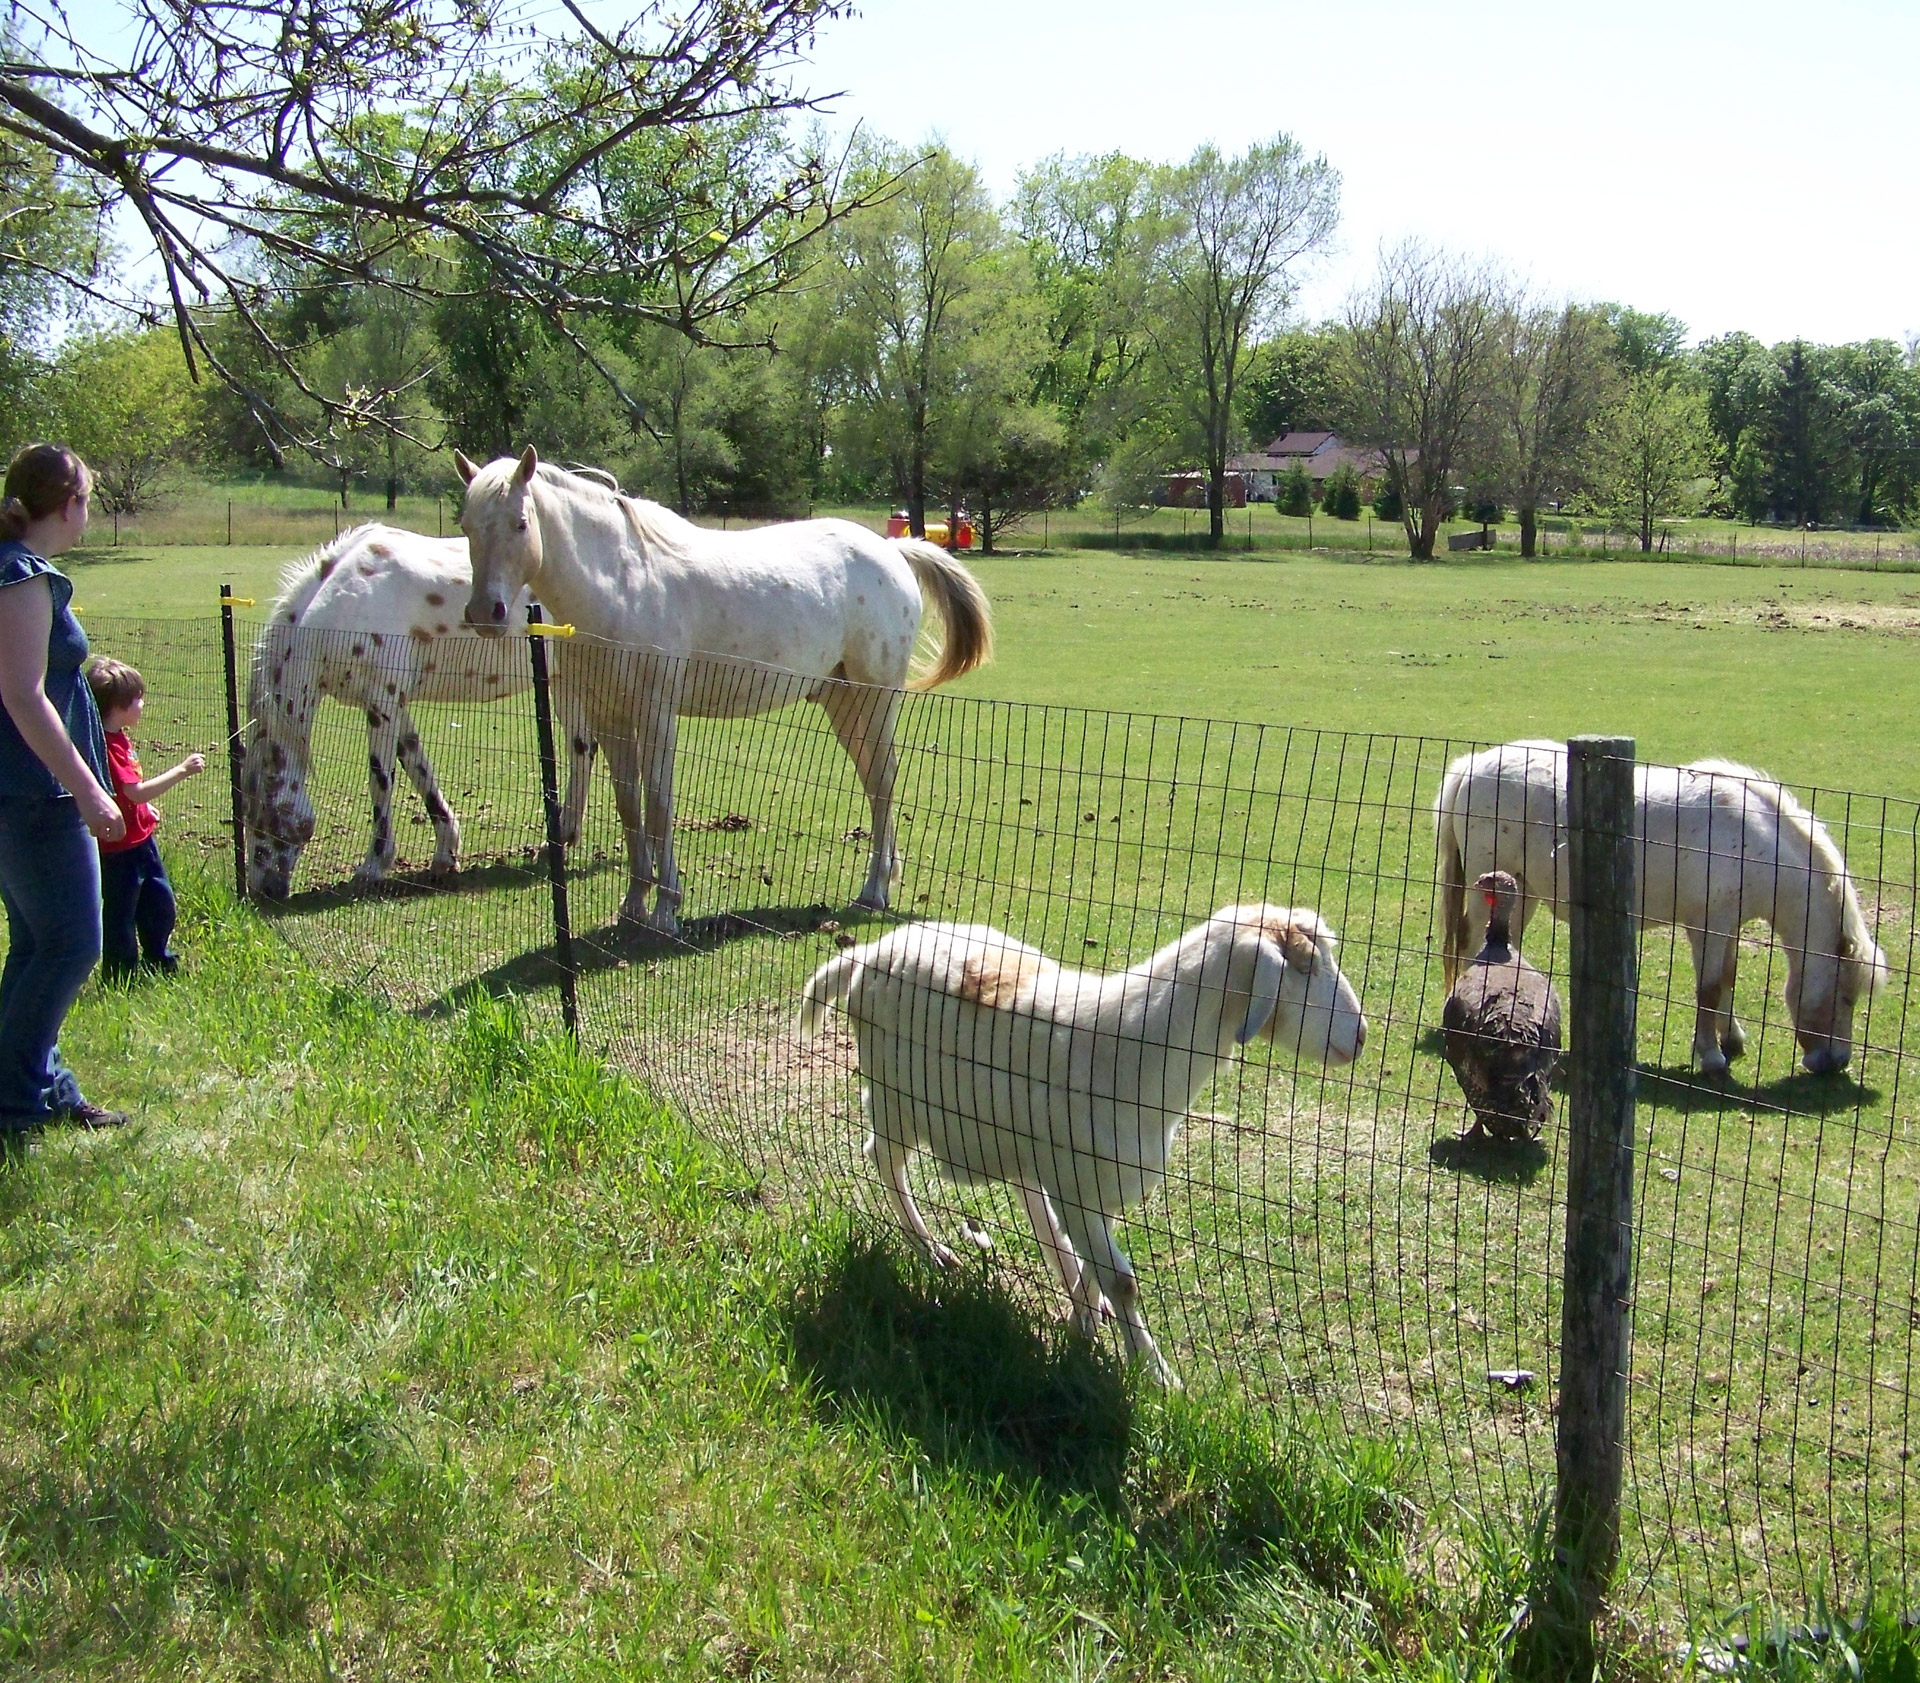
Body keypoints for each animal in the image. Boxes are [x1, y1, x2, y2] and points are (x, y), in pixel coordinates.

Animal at [245, 525, 591, 898]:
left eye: (263, 818)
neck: (346, 602)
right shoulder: (395, 706)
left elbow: (380, 782)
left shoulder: (381, 702)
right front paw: (444, 855)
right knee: (582, 749)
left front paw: (373, 866)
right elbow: (419, 770)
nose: (262, 890)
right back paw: (562, 837)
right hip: (566, 679)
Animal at [453, 443, 990, 932]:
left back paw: (873, 891)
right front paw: (633, 903)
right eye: (468, 526)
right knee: (876, 781)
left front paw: (667, 909)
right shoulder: (609, 719)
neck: (622, 583)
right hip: (843, 703)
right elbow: (629, 806)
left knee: (881, 783)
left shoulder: (655, 715)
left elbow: (658, 804)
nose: (485, 614)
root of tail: (892, 550)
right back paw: (883, 880)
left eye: (521, 523)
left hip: (873, 699)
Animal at [794, 905, 1367, 1389]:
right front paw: (1160, 1378)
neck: (1133, 1046)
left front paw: (1084, 1321)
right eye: (1305, 967)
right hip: (895, 1099)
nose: (1360, 1037)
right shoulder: (1077, 1182)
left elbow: (1097, 1266)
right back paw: (931, 1249)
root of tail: (868, 953)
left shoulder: (1091, 1185)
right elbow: (1122, 1281)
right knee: (882, 1160)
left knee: (1030, 1198)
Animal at [1436, 736, 1881, 1074]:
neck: (1749, 837)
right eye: (1846, 997)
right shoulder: (1706, 926)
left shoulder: (1728, 924)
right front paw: (1712, 1056)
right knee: (1469, 942)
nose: (1836, 1062)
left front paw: (1731, 1038)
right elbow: (1709, 988)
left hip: (1522, 891)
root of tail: (1474, 765)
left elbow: (1727, 979)